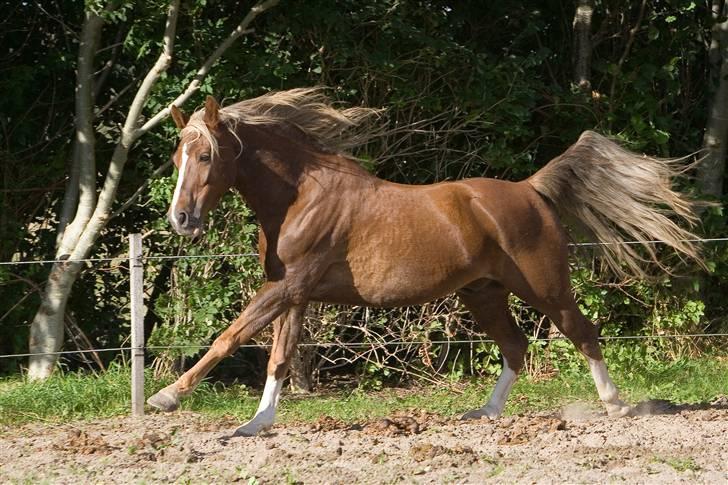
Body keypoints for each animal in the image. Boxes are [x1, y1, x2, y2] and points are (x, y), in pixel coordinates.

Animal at [146, 87, 700, 434]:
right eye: (175, 158)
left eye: (206, 157)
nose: (181, 220)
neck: (301, 196)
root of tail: (530, 189)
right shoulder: (294, 293)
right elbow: (279, 358)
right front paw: (256, 424)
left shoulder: (286, 287)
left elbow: (230, 336)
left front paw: (165, 398)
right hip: (483, 293)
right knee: (516, 346)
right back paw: (484, 413)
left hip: (545, 286)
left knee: (581, 333)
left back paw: (615, 406)